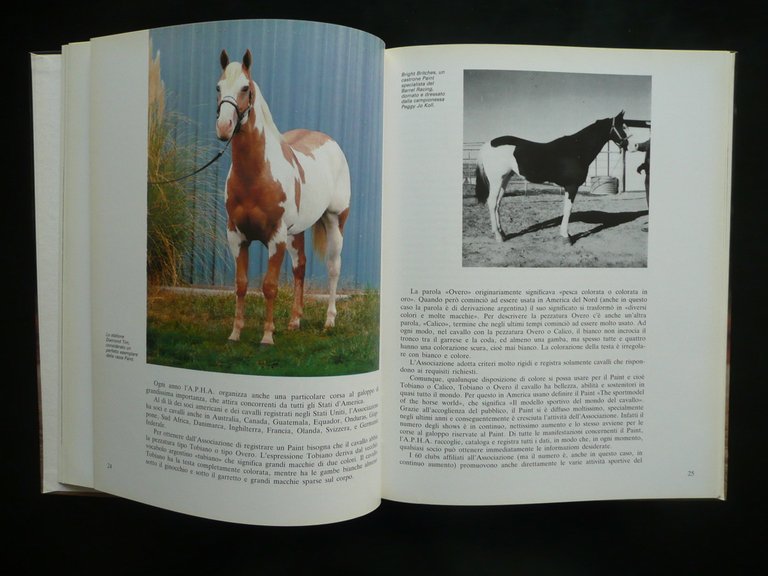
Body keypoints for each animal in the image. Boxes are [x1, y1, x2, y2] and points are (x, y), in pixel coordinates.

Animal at [215, 49, 351, 345]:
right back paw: (294, 321)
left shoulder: (275, 237)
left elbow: (269, 286)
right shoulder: (236, 236)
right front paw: (235, 333)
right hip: (296, 232)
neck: (256, 176)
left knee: (333, 268)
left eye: (246, 88)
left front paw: (267, 337)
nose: (224, 127)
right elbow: (241, 285)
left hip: (335, 221)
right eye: (218, 87)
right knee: (300, 267)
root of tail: (330, 142)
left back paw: (329, 321)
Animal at [474, 111, 631, 243]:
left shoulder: (568, 187)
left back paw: (503, 233)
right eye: (621, 127)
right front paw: (566, 237)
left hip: (505, 179)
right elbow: (568, 210)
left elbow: (566, 209)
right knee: (492, 202)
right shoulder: (572, 186)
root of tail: (487, 145)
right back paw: (498, 236)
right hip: (496, 180)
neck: (577, 149)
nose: (630, 144)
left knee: (498, 204)